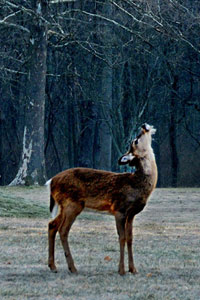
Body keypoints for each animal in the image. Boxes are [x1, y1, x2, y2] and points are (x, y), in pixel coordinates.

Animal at [47, 123, 158, 276]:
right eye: (135, 140)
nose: (143, 125)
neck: (137, 184)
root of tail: (51, 181)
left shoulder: (131, 214)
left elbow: (130, 238)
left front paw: (133, 269)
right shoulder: (119, 209)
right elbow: (122, 237)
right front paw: (121, 270)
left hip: (64, 206)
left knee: (52, 225)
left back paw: (53, 266)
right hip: (72, 204)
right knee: (63, 230)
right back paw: (72, 268)